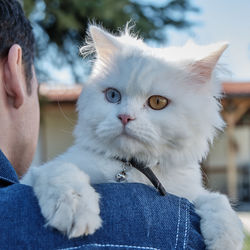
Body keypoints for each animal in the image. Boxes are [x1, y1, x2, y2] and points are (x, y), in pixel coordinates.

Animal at [22, 24, 244, 249]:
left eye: (157, 102)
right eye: (113, 96)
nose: (125, 117)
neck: (132, 169)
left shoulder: (188, 192)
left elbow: (216, 200)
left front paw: (226, 239)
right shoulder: (36, 174)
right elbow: (62, 172)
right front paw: (75, 209)